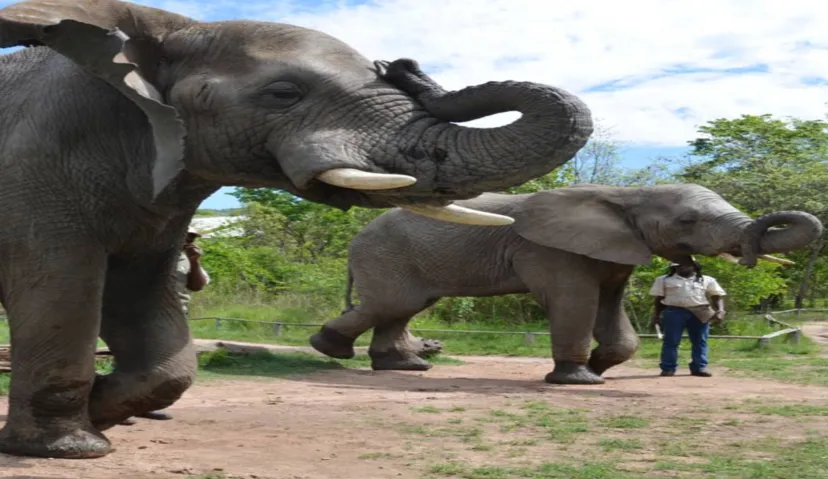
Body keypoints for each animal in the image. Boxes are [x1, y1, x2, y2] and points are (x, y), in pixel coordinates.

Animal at [0, 0, 595, 459]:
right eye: (285, 93)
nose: (401, 63)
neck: (171, 29)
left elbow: (145, 304)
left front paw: (106, 410)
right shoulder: (37, 164)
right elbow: (61, 286)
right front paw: (70, 449)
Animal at [309, 184, 823, 383]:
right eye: (688, 220)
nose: (750, 252)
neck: (628, 196)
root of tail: (356, 237)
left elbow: (611, 307)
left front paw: (598, 368)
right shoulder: (551, 250)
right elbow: (574, 301)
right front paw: (580, 380)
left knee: (402, 307)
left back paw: (405, 368)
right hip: (386, 256)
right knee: (392, 303)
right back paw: (329, 349)